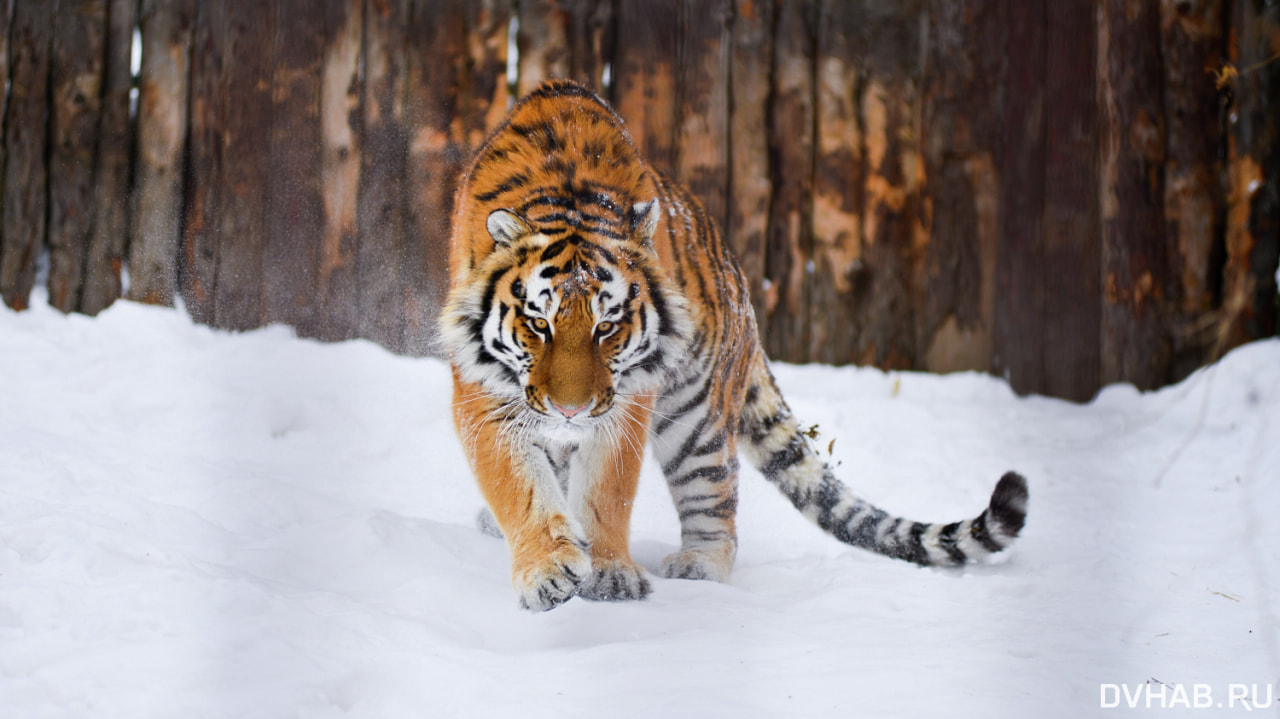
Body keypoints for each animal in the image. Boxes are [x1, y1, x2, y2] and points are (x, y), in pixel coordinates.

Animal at [442, 78, 1029, 606]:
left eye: (606, 327)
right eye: (539, 324)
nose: (571, 409)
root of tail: (739, 282)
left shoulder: (629, 399)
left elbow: (607, 489)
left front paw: (608, 573)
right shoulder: (485, 395)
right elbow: (521, 486)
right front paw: (547, 569)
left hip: (698, 421)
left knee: (714, 501)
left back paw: (698, 568)